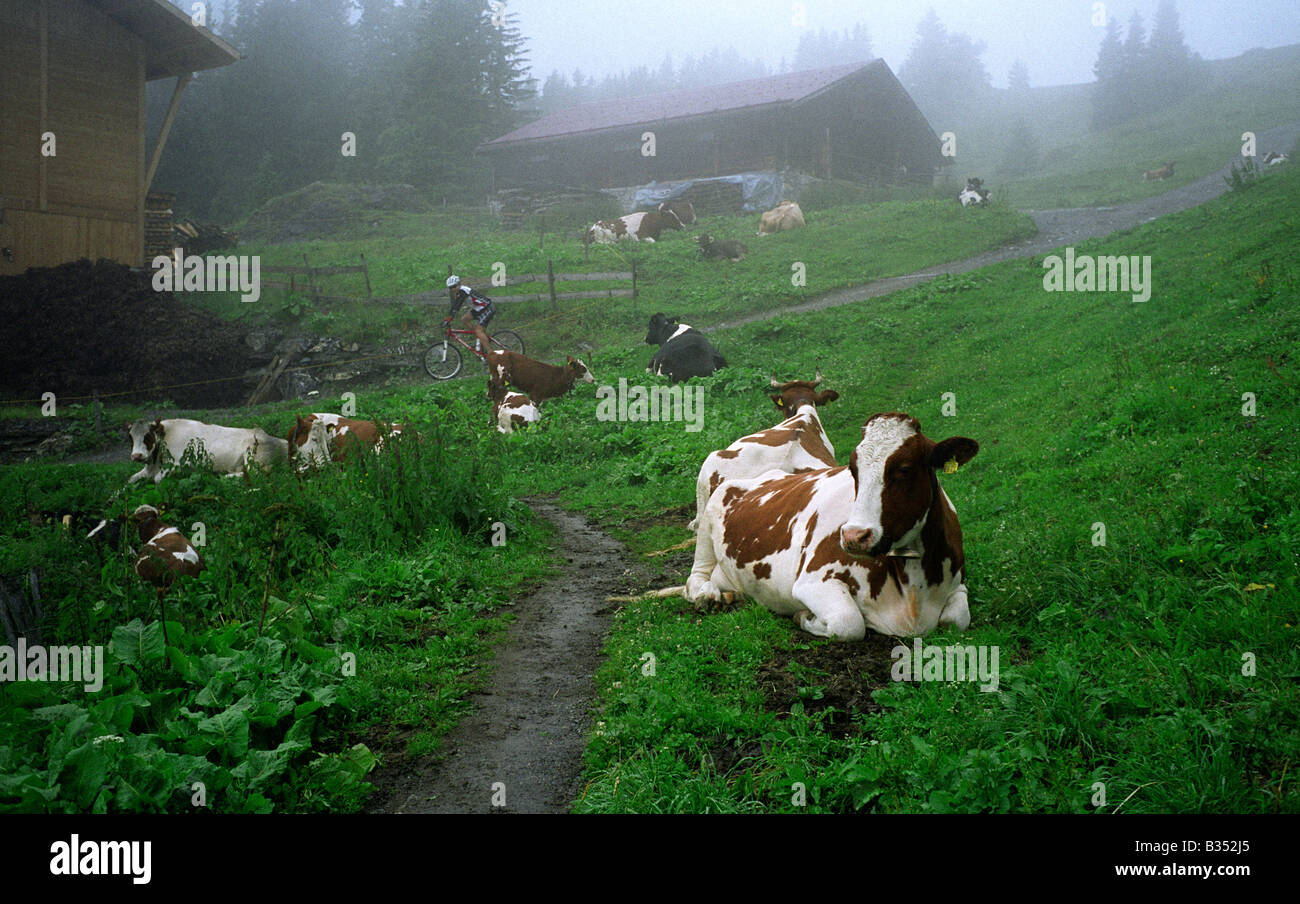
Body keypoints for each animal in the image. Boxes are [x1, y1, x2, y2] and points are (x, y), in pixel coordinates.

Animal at [126, 418, 287, 489]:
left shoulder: (184, 463)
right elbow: (130, 479)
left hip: (253, 455)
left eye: (148, 436)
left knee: (256, 474)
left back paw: (223, 476)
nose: (136, 456)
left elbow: (157, 479)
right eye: (131, 437)